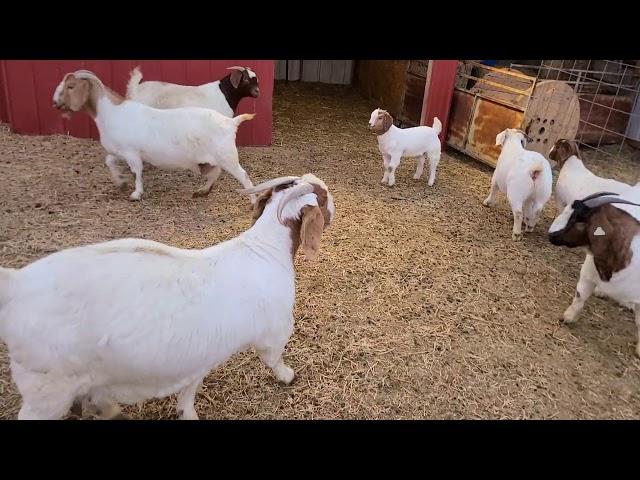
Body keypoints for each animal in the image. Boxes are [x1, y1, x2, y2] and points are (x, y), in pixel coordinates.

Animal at [0, 174, 338, 418]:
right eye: (322, 196)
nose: (332, 202)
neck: (265, 250)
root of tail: (17, 284)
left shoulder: (201, 355)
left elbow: (189, 389)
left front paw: (185, 412)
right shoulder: (274, 330)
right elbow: (274, 357)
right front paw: (288, 376)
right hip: (46, 389)